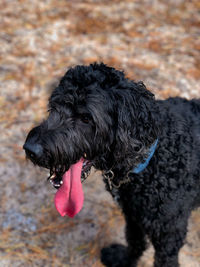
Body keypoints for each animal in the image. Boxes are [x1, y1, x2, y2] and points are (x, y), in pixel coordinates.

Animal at [23, 63, 200, 266]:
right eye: (54, 107)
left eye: (86, 118)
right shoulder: (133, 214)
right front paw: (125, 259)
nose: (30, 149)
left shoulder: (169, 234)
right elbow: (134, 240)